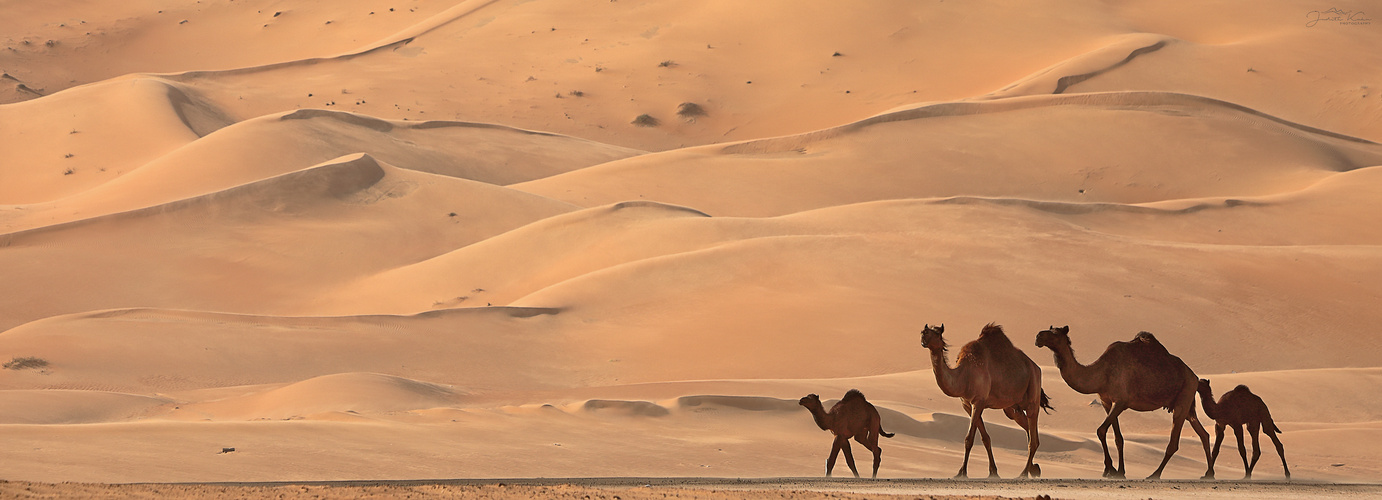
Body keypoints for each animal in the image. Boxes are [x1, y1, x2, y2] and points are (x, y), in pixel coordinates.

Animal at [923, 321, 1050, 477]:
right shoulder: (967, 404)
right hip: (1012, 408)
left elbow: (969, 439)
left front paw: (962, 472)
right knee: (1028, 431)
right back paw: (1034, 468)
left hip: (1033, 393)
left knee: (1033, 438)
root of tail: (1036, 367)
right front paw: (993, 471)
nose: (923, 335)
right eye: (925, 330)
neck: (964, 375)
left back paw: (1024, 473)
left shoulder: (978, 401)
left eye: (937, 333)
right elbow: (985, 438)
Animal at [1033, 325, 1216, 477]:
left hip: (1183, 397)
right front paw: (1120, 471)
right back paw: (1209, 473)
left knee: (1174, 443)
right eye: (1050, 328)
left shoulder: (1120, 402)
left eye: (1055, 333)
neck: (1102, 373)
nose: (1038, 336)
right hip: (1187, 404)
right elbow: (1118, 438)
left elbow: (1101, 431)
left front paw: (1109, 469)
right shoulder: (1107, 402)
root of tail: (1195, 377)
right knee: (1203, 434)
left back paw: (1154, 474)